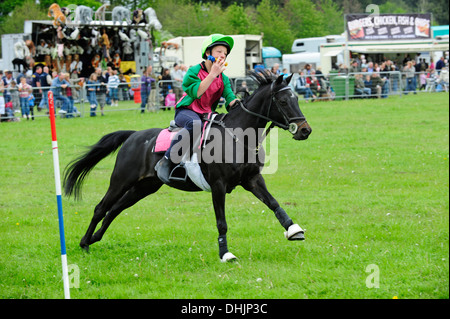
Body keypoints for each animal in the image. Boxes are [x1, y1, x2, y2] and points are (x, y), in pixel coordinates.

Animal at [64, 70, 312, 262]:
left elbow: (273, 203)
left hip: (144, 187)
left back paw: (94, 238)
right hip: (121, 180)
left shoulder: (252, 180)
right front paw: (225, 254)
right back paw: (85, 242)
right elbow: (222, 223)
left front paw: (293, 229)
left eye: (296, 99)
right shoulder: (218, 186)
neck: (238, 136)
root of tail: (133, 135)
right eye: (283, 102)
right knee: (101, 208)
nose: (305, 130)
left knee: (115, 209)